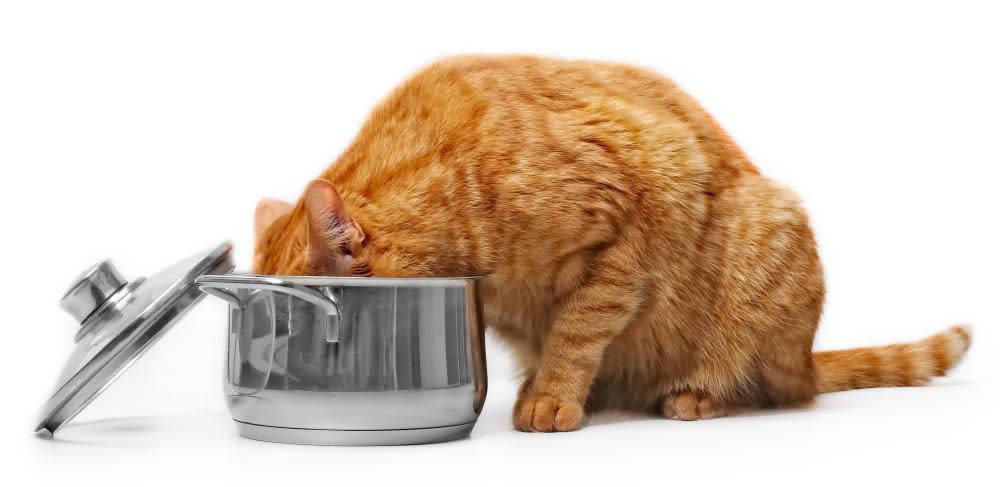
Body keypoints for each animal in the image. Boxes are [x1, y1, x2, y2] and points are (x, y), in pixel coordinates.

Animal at [250, 55, 968, 432]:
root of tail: (806, 357)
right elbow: (556, 337)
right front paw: (549, 386)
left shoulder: (638, 213)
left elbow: (577, 329)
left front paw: (553, 395)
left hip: (770, 229)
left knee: (773, 387)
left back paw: (698, 393)